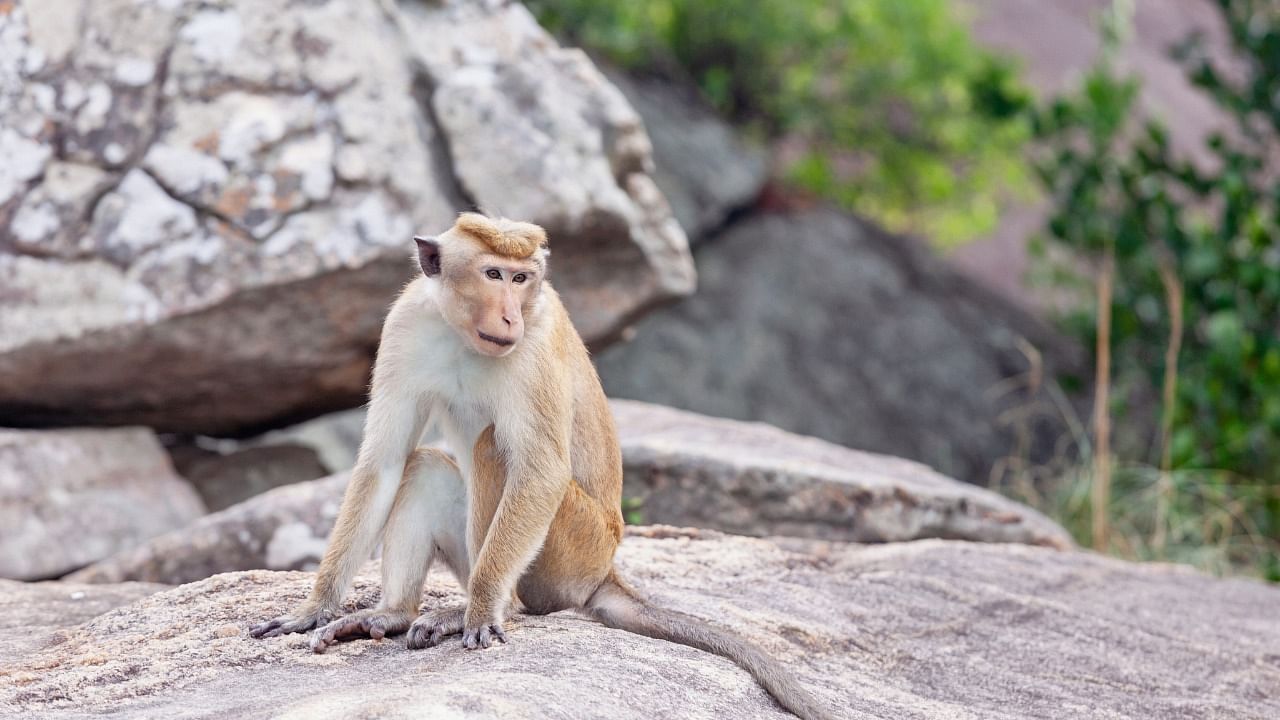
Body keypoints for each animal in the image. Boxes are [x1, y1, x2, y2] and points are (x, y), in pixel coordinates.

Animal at [249, 211, 829, 717]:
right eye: (493, 273)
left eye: (522, 278)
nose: (510, 314)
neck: (463, 335)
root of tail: (605, 570)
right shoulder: (405, 325)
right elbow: (384, 461)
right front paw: (314, 609)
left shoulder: (535, 340)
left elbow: (541, 470)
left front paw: (483, 611)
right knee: (427, 465)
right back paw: (394, 614)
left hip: (571, 552)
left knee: (493, 450)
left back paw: (481, 608)